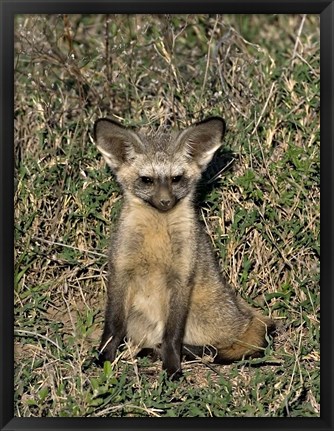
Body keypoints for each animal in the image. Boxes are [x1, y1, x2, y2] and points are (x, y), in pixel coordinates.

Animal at [93, 116, 274, 380]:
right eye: (147, 180)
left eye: (176, 179)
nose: (165, 202)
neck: (156, 239)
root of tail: (242, 311)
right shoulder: (121, 270)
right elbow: (113, 327)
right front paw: (104, 357)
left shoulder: (181, 278)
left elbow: (172, 335)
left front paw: (172, 369)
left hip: (201, 316)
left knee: (230, 342)